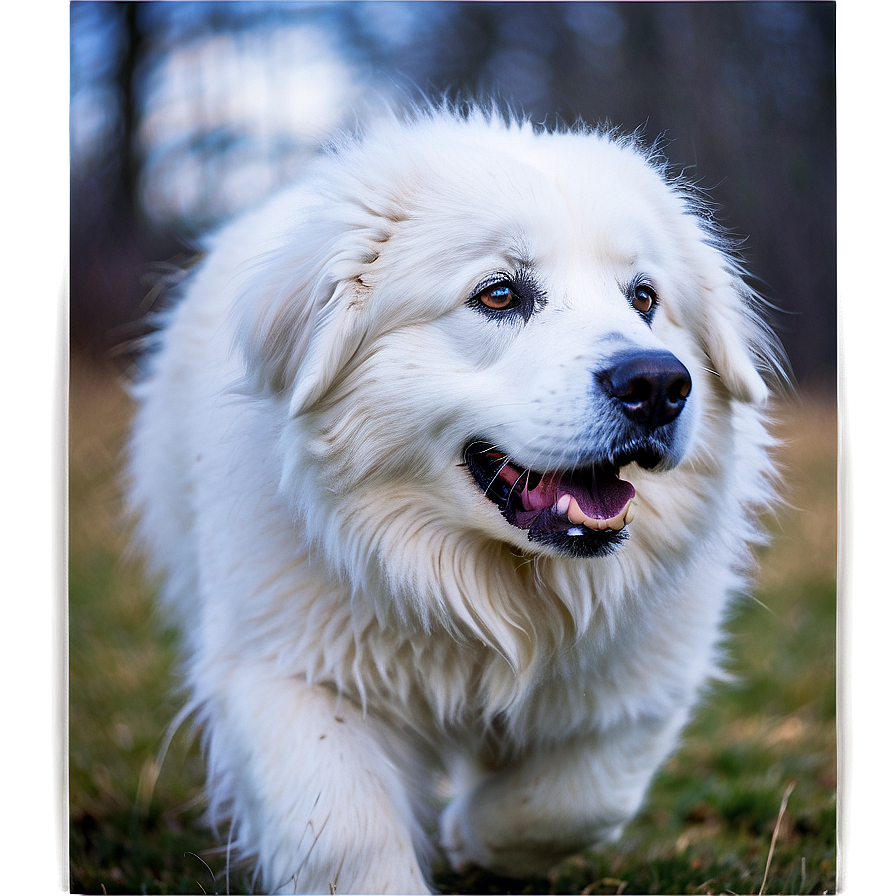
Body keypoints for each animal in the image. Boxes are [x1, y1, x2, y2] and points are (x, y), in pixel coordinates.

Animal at [130, 108, 780, 892]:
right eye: (498, 295)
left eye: (644, 299)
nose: (657, 382)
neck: (483, 587)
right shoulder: (285, 675)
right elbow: (345, 835)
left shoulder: (644, 684)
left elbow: (577, 798)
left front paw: (475, 838)